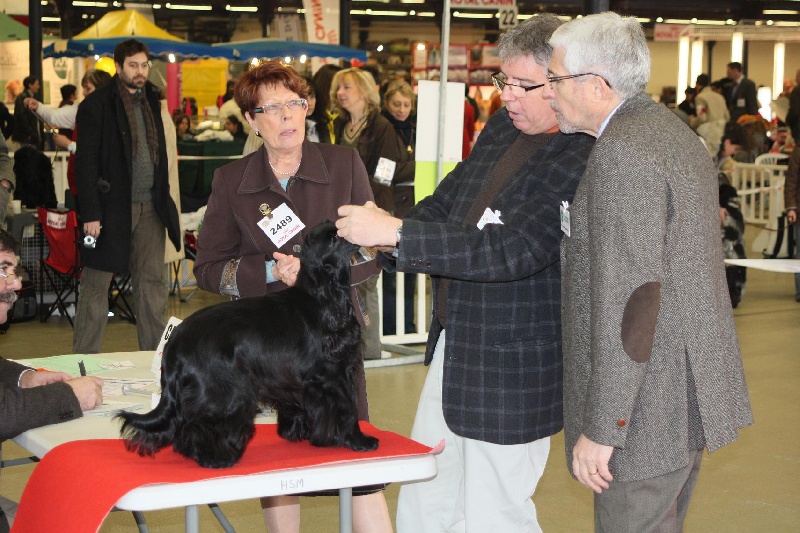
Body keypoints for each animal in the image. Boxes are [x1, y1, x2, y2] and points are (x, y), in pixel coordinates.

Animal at [117, 219, 380, 466]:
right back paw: (215, 458)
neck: (322, 293)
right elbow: (347, 410)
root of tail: (175, 341)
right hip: (225, 393)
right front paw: (359, 440)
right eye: (334, 237)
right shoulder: (333, 375)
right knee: (200, 425)